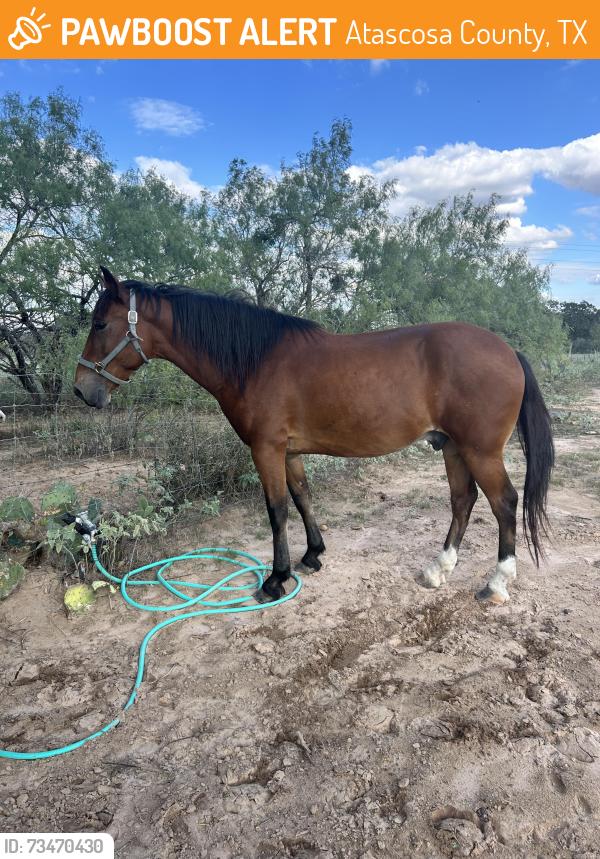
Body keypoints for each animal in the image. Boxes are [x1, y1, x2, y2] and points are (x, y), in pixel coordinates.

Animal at [74, 267, 554, 606]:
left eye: (99, 324)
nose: (82, 390)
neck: (255, 360)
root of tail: (508, 350)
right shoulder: (288, 451)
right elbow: (302, 496)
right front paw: (312, 555)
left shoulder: (266, 448)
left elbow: (276, 509)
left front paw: (276, 579)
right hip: (451, 446)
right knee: (463, 500)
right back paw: (439, 570)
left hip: (480, 451)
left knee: (503, 502)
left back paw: (496, 583)